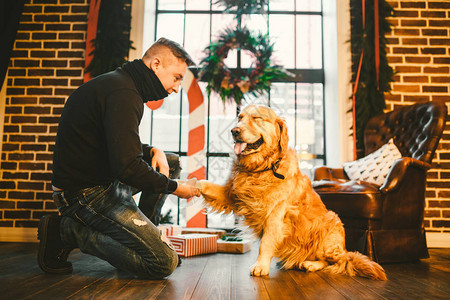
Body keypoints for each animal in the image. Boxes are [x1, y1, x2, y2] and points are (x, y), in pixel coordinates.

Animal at [200, 104, 386, 280]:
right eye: (240, 117)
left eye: (257, 118)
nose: (234, 131)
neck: (262, 168)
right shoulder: (231, 194)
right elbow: (207, 185)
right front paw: (194, 184)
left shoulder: (275, 215)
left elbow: (265, 243)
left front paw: (260, 266)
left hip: (329, 226)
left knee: (336, 261)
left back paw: (311, 264)